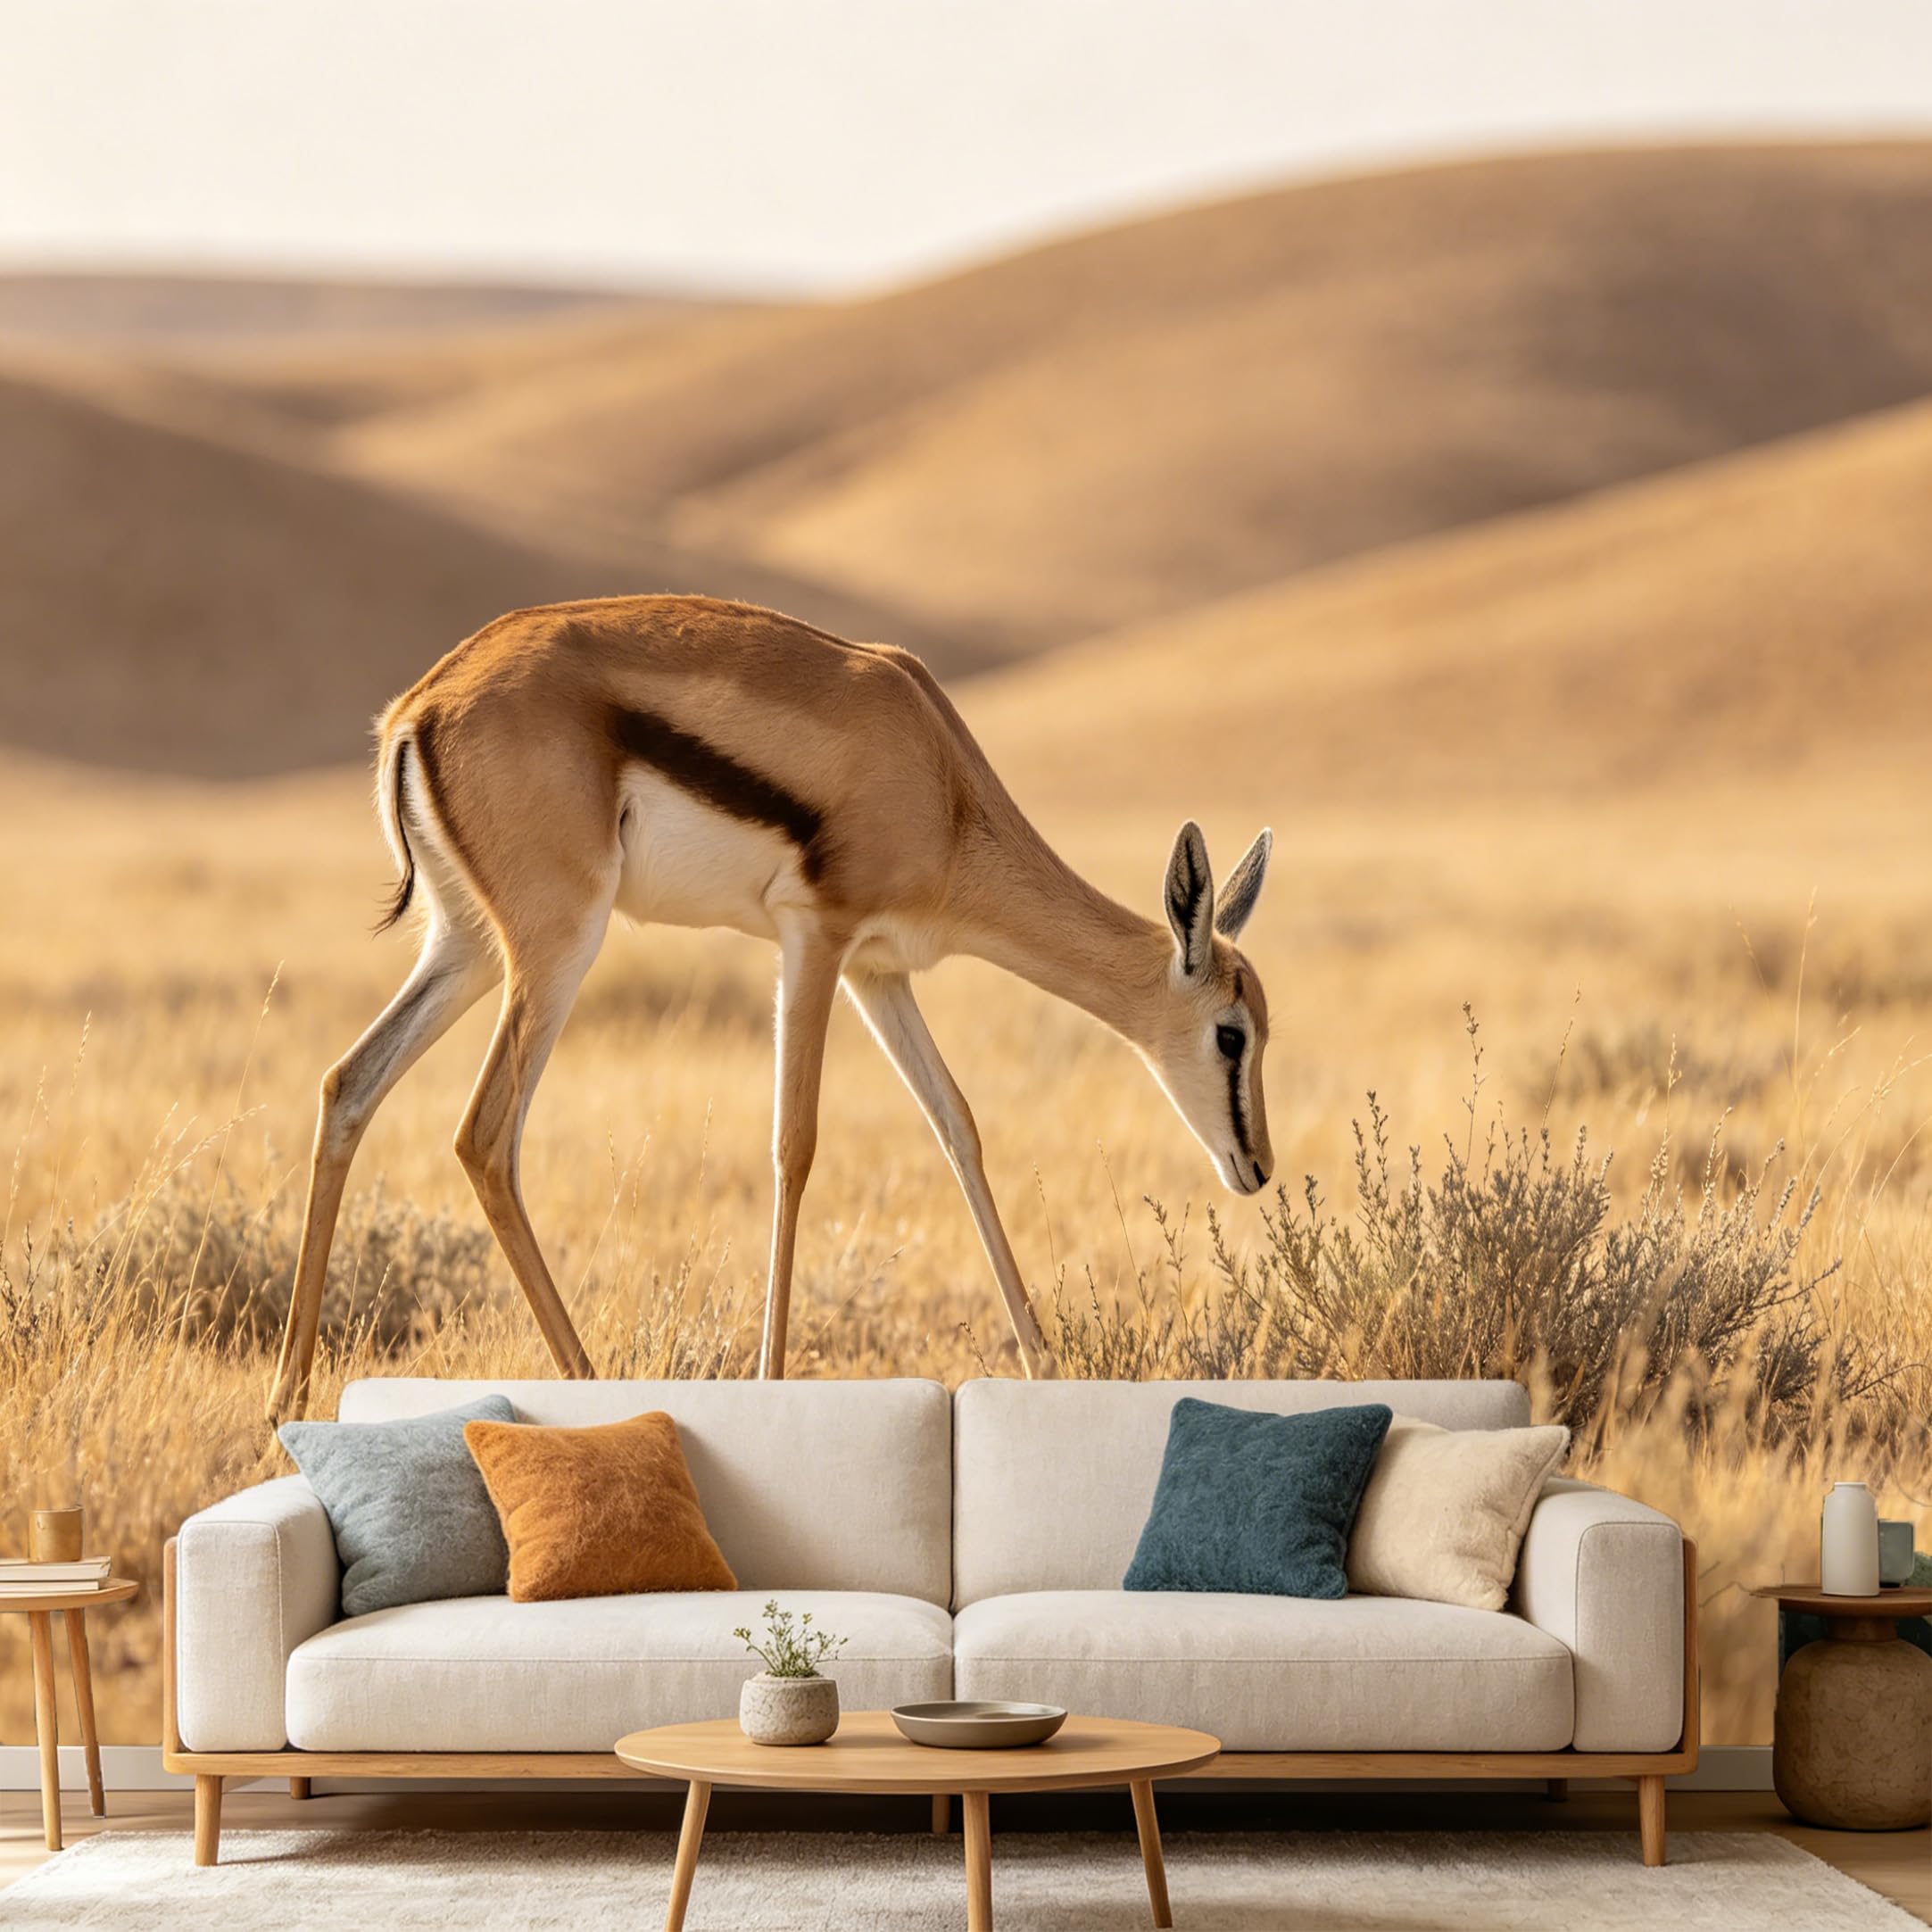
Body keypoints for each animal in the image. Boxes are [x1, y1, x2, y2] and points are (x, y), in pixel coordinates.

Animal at [265, 595, 1274, 1420]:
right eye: (1230, 1035)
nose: (1257, 1167)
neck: (940, 784)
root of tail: (420, 705)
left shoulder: (879, 972)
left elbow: (957, 1126)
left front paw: (1045, 1367)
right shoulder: (814, 938)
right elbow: (796, 1146)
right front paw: (771, 1380)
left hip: (467, 945)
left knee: (347, 1084)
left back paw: (288, 1401)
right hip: (556, 946)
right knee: (483, 1134)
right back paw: (588, 1389)